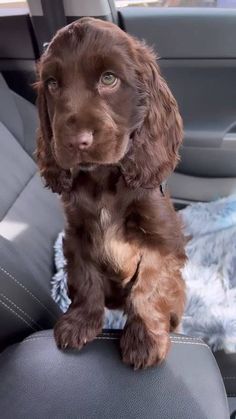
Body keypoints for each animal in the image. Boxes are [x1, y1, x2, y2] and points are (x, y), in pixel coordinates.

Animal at [35, 18, 186, 370]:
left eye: (108, 79)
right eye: (52, 83)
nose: (76, 141)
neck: (103, 180)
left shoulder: (160, 237)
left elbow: (150, 284)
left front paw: (144, 340)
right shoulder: (77, 233)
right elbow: (84, 277)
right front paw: (79, 322)